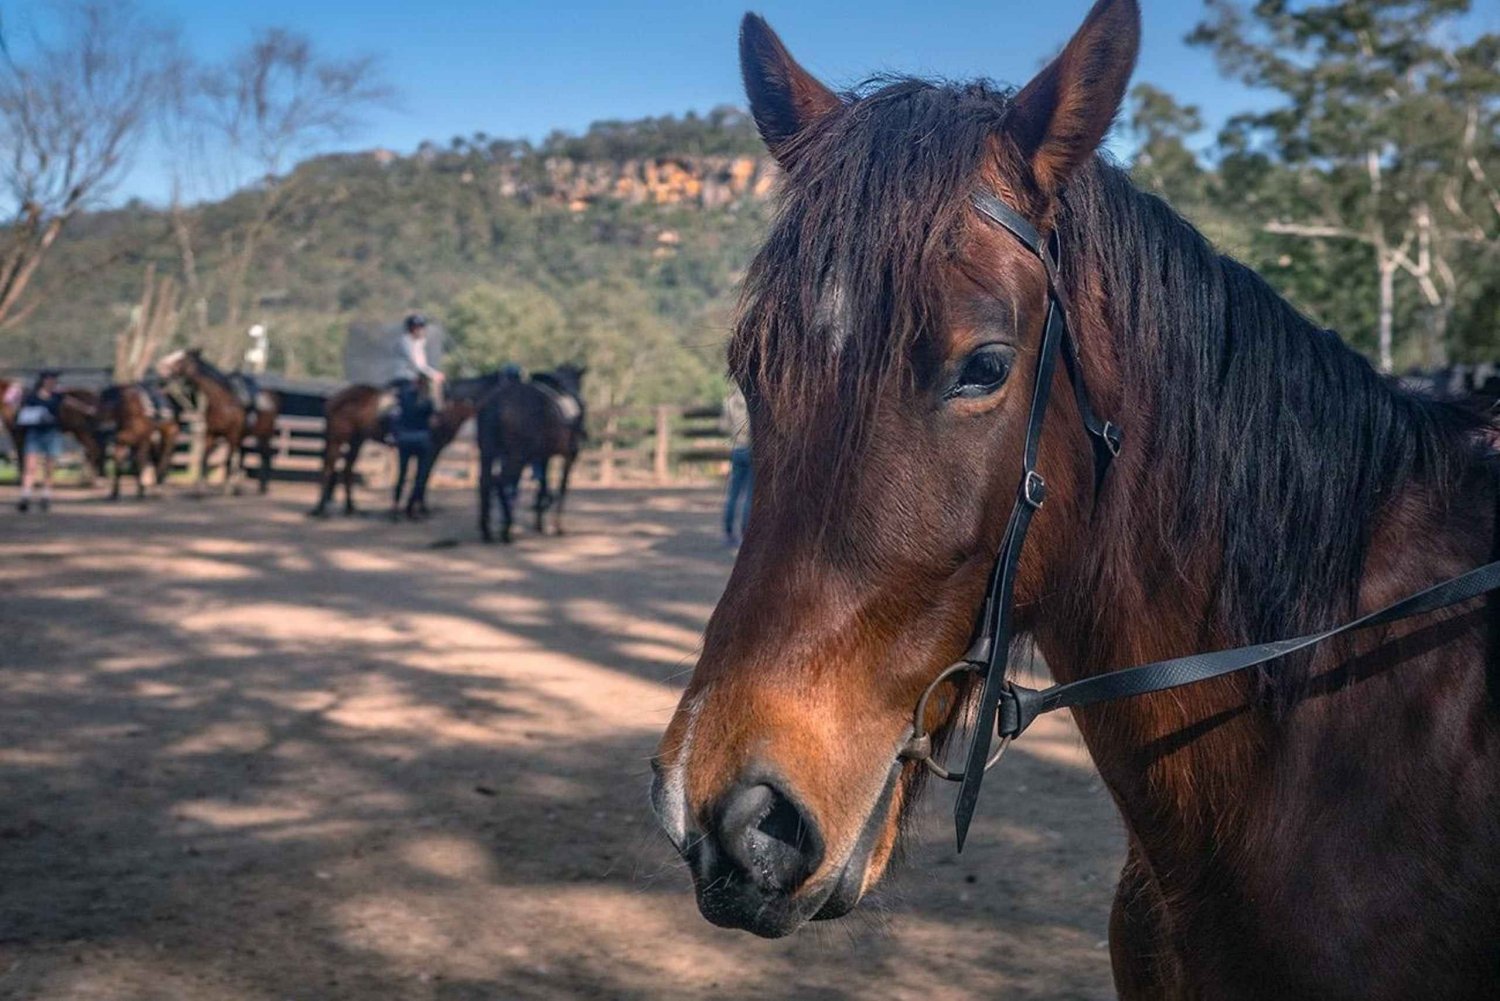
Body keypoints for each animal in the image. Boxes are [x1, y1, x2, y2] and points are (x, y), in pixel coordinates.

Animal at [156, 348, 280, 498]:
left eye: (181, 359)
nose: (161, 365)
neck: (222, 401)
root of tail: (272, 397)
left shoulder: (232, 436)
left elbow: (227, 461)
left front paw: (226, 489)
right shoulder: (211, 435)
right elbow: (204, 460)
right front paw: (200, 490)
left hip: (264, 435)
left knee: (265, 456)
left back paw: (262, 488)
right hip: (244, 437)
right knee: (243, 456)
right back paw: (239, 487)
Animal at [310, 372, 504, 522]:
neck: (447, 408)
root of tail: (333, 399)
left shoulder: (434, 450)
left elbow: (424, 477)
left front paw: (419, 508)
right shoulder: (430, 449)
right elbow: (422, 477)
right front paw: (418, 509)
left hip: (357, 440)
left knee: (347, 469)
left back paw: (350, 508)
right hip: (337, 440)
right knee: (328, 468)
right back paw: (320, 510)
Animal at [474, 364, 585, 543]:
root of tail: (497, 402)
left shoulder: (543, 456)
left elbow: (543, 484)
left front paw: (539, 521)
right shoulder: (569, 455)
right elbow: (561, 487)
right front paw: (556, 526)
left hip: (488, 452)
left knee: (485, 482)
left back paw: (487, 531)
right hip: (517, 457)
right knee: (501, 481)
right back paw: (506, 530)